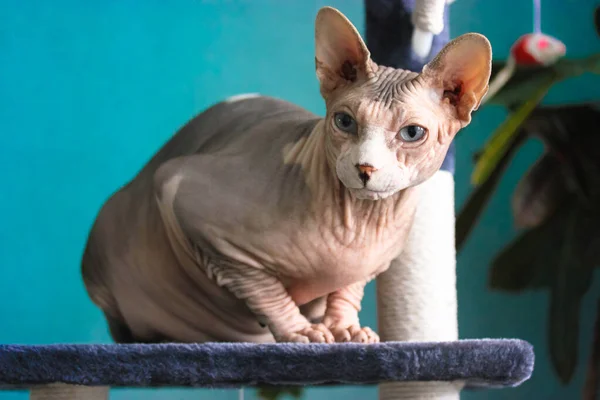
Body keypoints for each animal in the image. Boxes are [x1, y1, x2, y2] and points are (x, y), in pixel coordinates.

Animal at [81, 5, 492, 344]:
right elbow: (262, 287)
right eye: (344, 121)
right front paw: (300, 329)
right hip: (109, 231)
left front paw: (344, 326)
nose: (365, 168)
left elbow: (347, 289)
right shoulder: (179, 190)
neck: (361, 224)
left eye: (412, 133)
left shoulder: (370, 264)